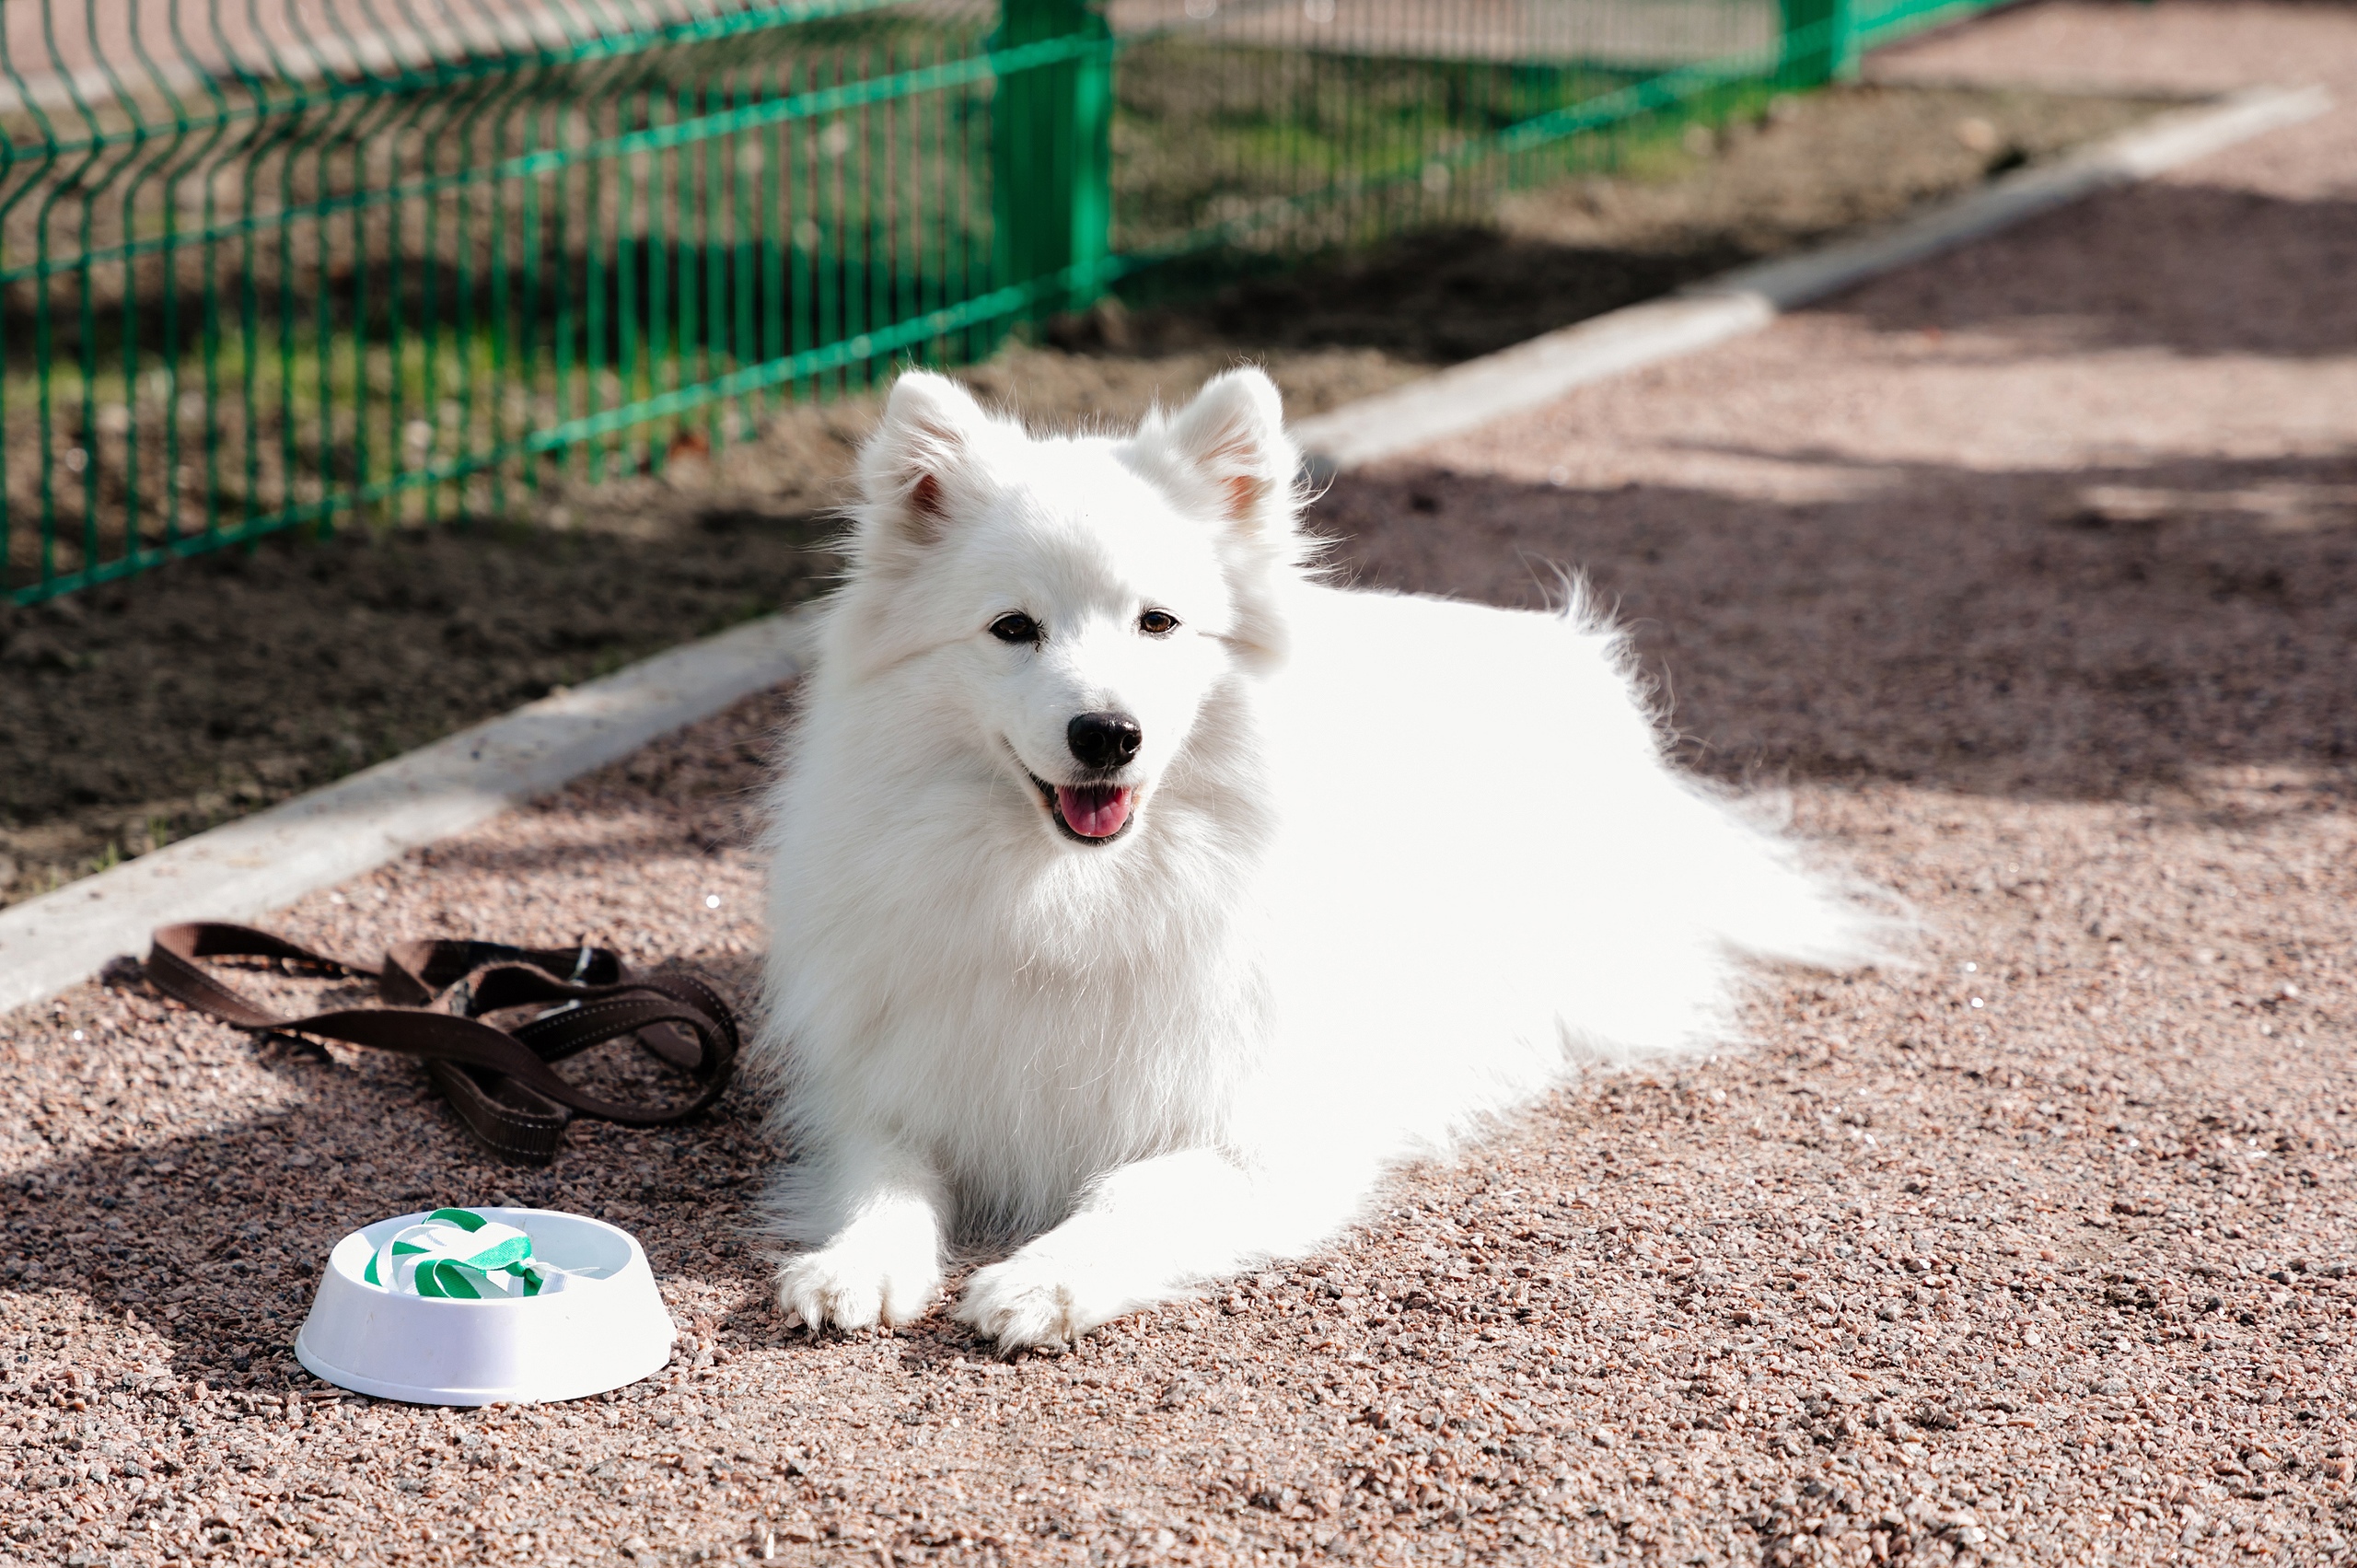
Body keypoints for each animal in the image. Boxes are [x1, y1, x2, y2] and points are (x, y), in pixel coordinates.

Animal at [754, 367, 1875, 1348]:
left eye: (1158, 622)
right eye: (1012, 628)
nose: (1107, 733)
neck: (1077, 897)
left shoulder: (1263, 1125)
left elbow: (1138, 1188)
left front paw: (1046, 1277)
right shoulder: (887, 1085)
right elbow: (888, 1173)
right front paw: (858, 1261)